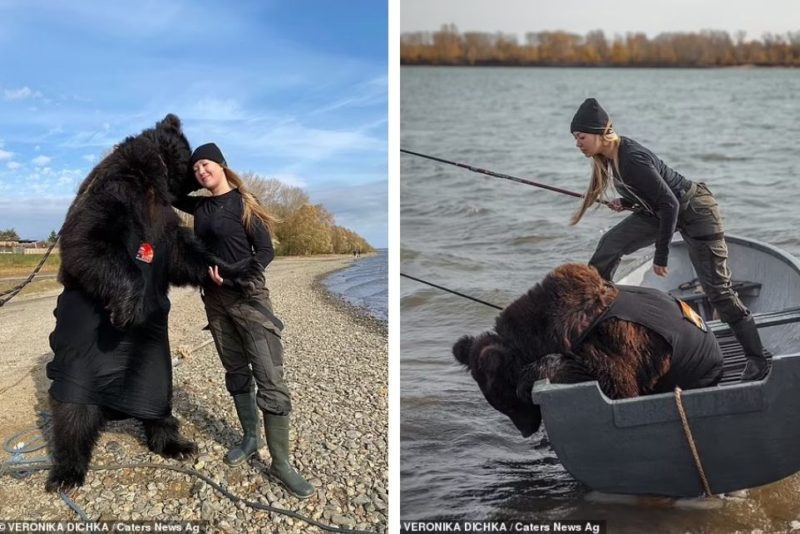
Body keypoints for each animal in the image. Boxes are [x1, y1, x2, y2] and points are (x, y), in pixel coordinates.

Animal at [45, 114, 262, 494]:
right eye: (193, 159)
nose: (201, 174)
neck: (151, 181)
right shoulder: (114, 194)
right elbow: (88, 238)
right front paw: (125, 308)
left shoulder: (166, 223)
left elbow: (188, 256)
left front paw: (240, 272)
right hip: (78, 346)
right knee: (72, 405)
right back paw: (67, 471)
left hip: (151, 348)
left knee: (155, 392)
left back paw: (176, 443)